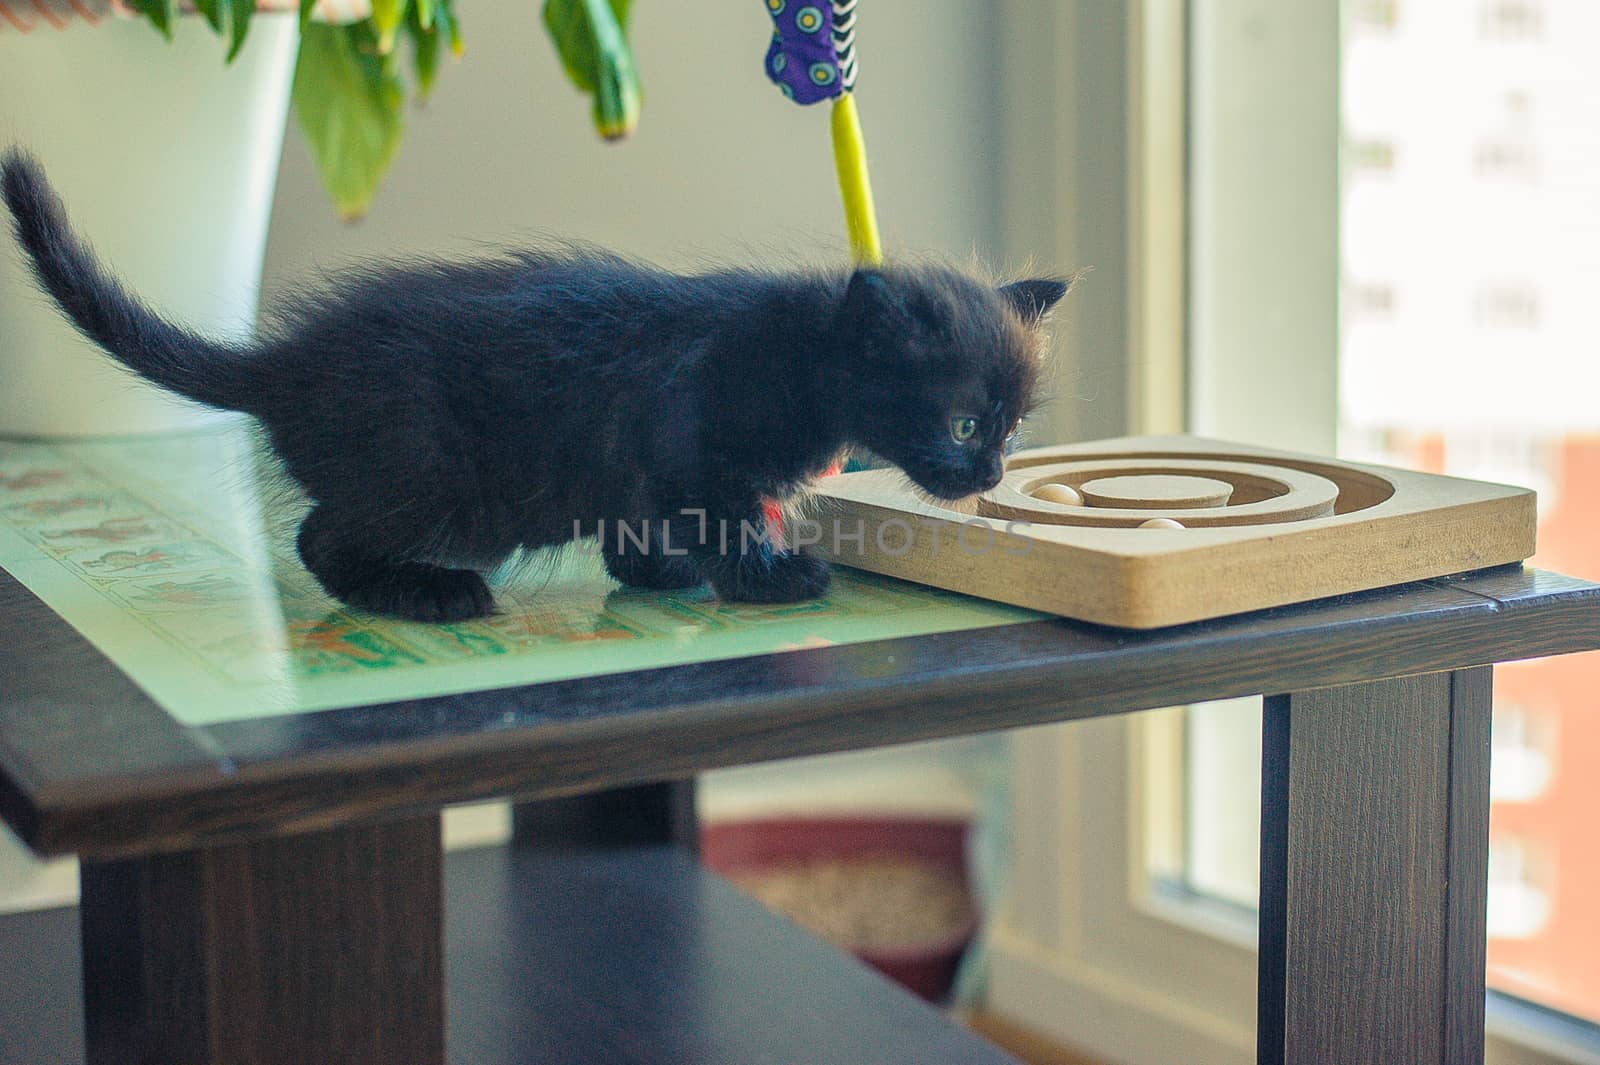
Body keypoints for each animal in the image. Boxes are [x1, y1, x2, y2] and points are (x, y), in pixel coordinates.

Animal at [3, 145, 1075, 617]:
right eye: (966, 423)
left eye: (1011, 427)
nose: (991, 475)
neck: (800, 353)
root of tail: (287, 368)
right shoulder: (693, 446)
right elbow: (723, 520)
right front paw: (775, 580)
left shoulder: (638, 473)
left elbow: (636, 532)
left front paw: (660, 575)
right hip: (437, 481)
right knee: (319, 538)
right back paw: (429, 595)